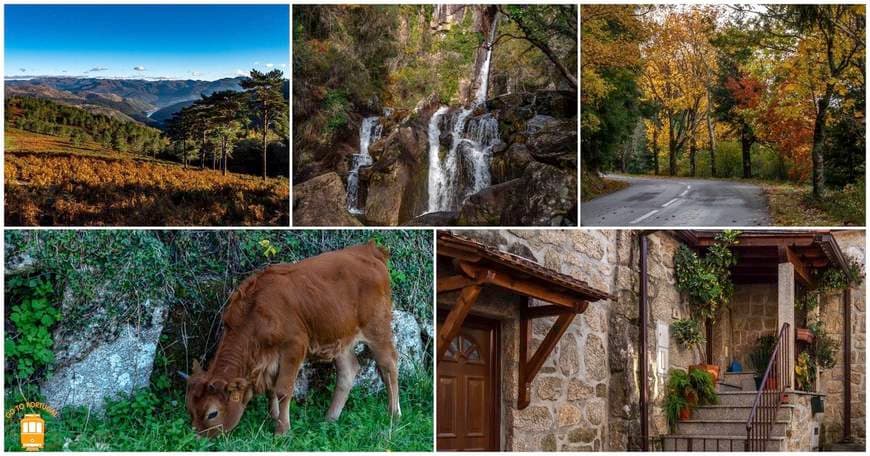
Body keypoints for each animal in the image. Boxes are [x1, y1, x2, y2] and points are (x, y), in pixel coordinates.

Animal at [184, 240, 402, 436]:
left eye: (212, 413)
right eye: (190, 408)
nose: (198, 437)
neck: (254, 311)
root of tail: (370, 250)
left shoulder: (294, 346)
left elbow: (283, 389)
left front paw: (282, 431)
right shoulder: (268, 358)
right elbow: (271, 389)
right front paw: (272, 418)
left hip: (378, 327)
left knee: (389, 365)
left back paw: (393, 414)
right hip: (340, 336)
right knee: (348, 371)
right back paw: (330, 418)